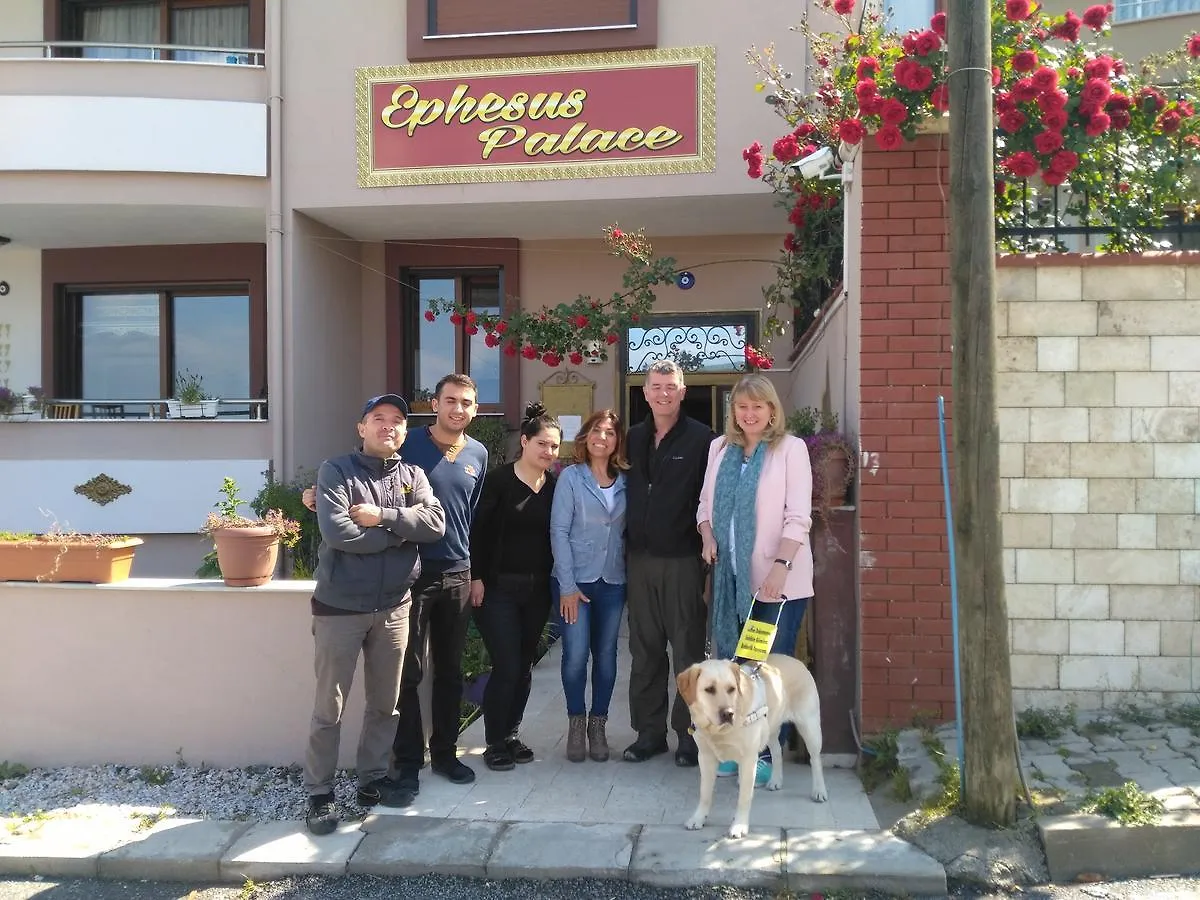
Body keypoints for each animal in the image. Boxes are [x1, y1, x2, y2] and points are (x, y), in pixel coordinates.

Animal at [676, 657, 825, 840]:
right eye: (709, 689)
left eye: (731, 689)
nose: (728, 713)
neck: (718, 731)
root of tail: (798, 661)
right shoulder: (705, 757)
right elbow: (705, 793)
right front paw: (698, 818)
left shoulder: (748, 759)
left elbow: (744, 797)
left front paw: (739, 826)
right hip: (770, 728)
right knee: (777, 752)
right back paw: (776, 780)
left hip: (810, 727)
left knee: (815, 759)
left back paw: (819, 790)